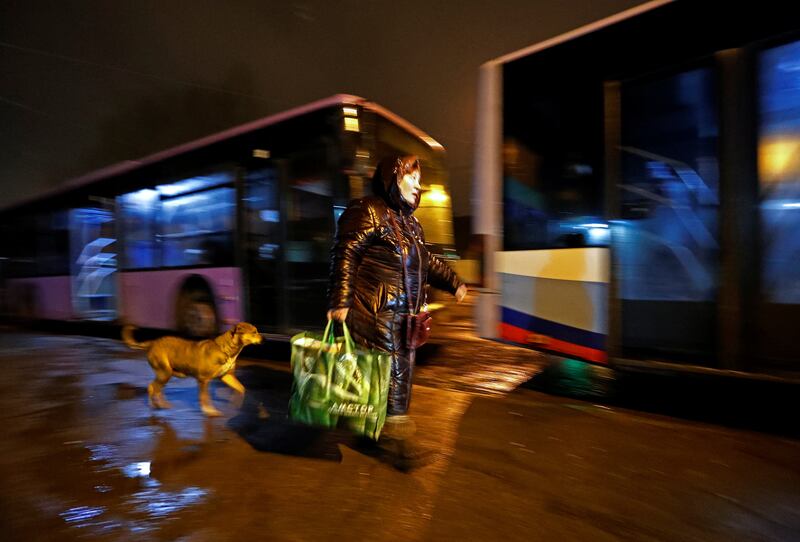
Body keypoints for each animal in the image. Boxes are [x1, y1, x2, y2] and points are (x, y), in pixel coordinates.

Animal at [122, 326, 264, 418]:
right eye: (254, 332)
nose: (263, 338)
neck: (226, 349)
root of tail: (152, 343)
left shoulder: (226, 376)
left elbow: (241, 388)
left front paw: (235, 402)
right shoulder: (203, 380)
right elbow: (205, 398)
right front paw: (209, 411)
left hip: (166, 374)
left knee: (157, 389)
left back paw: (161, 404)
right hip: (164, 373)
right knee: (152, 387)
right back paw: (154, 405)